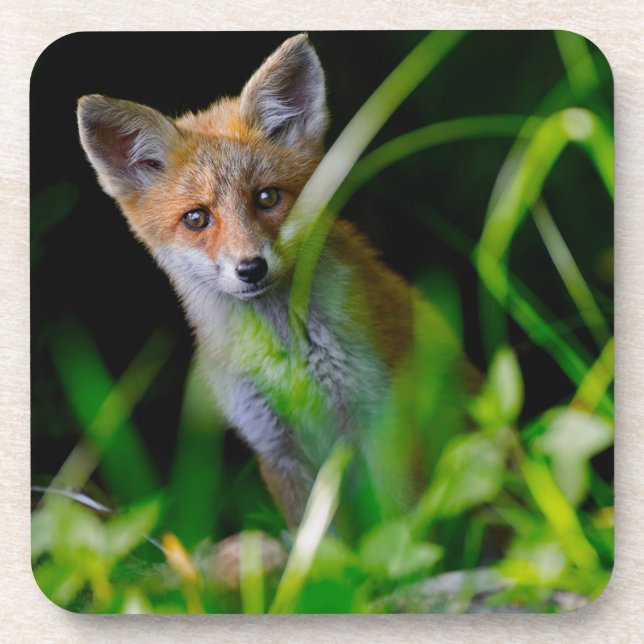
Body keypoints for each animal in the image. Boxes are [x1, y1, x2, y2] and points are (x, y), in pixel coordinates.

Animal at [77, 34, 469, 531]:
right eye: (197, 218)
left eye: (266, 197)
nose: (250, 268)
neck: (288, 357)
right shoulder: (274, 446)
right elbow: (322, 542)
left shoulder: (382, 419)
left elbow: (398, 524)